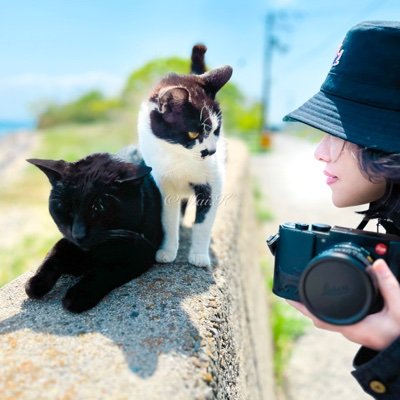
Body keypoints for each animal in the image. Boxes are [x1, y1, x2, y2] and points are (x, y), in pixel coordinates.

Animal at [25, 150, 162, 312]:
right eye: (65, 208)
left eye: (98, 208)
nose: (78, 233)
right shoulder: (69, 241)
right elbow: (54, 252)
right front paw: (35, 283)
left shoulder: (141, 251)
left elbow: (105, 270)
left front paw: (77, 295)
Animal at [138, 45, 233, 268]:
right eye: (192, 133)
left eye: (216, 130)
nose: (212, 151)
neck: (179, 155)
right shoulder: (163, 184)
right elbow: (168, 219)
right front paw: (167, 251)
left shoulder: (213, 182)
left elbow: (203, 223)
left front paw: (198, 256)